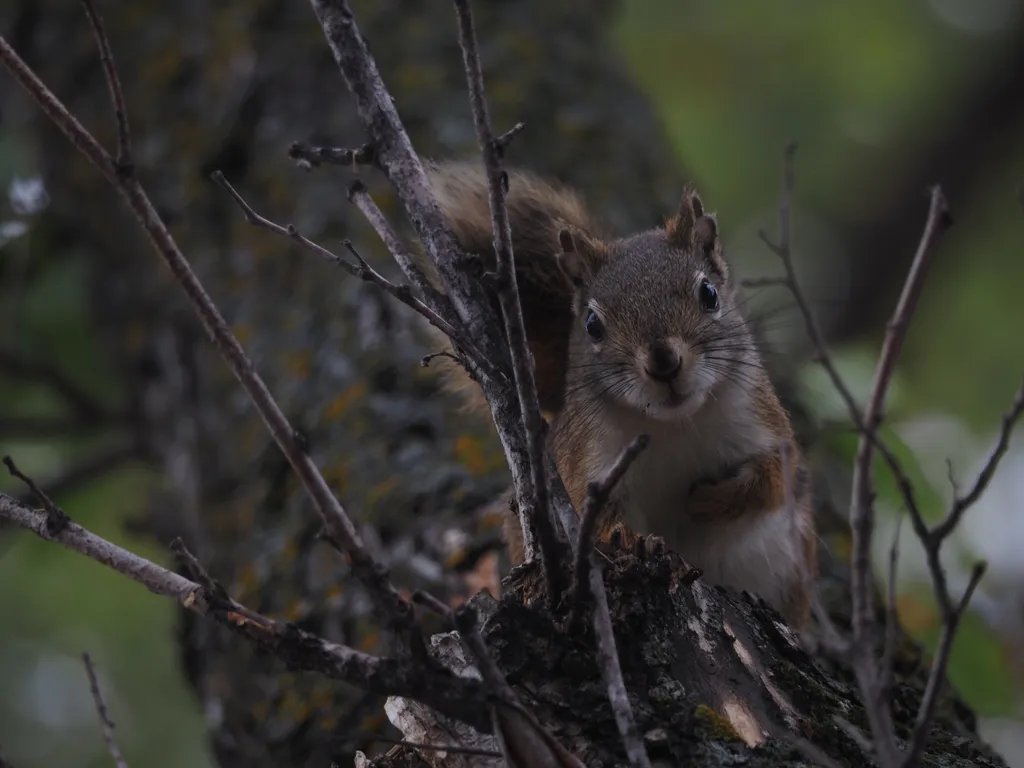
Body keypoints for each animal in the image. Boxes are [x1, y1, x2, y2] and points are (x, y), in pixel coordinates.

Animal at [415, 159, 815, 626]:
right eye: (592, 324)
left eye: (709, 293)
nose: (663, 362)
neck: (674, 424)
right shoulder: (583, 461)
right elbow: (593, 518)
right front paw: (629, 538)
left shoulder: (765, 424)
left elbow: (773, 479)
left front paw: (706, 501)